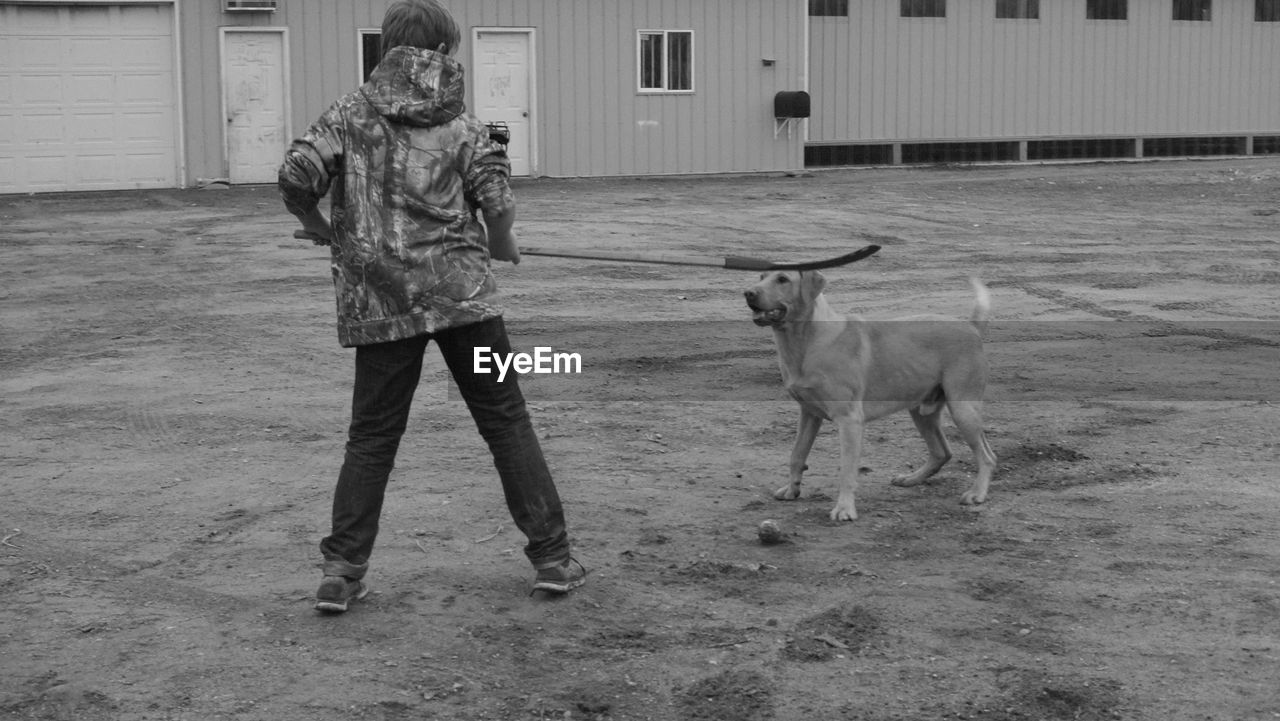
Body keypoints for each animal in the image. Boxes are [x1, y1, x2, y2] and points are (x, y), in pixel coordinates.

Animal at [742, 274, 998, 522]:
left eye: (782, 279)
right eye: (762, 276)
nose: (748, 293)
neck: (808, 342)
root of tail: (971, 327)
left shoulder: (849, 421)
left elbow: (846, 471)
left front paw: (844, 509)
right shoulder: (809, 415)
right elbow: (797, 454)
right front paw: (791, 489)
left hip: (962, 409)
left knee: (987, 456)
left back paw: (977, 493)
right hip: (921, 412)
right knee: (942, 452)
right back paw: (911, 479)